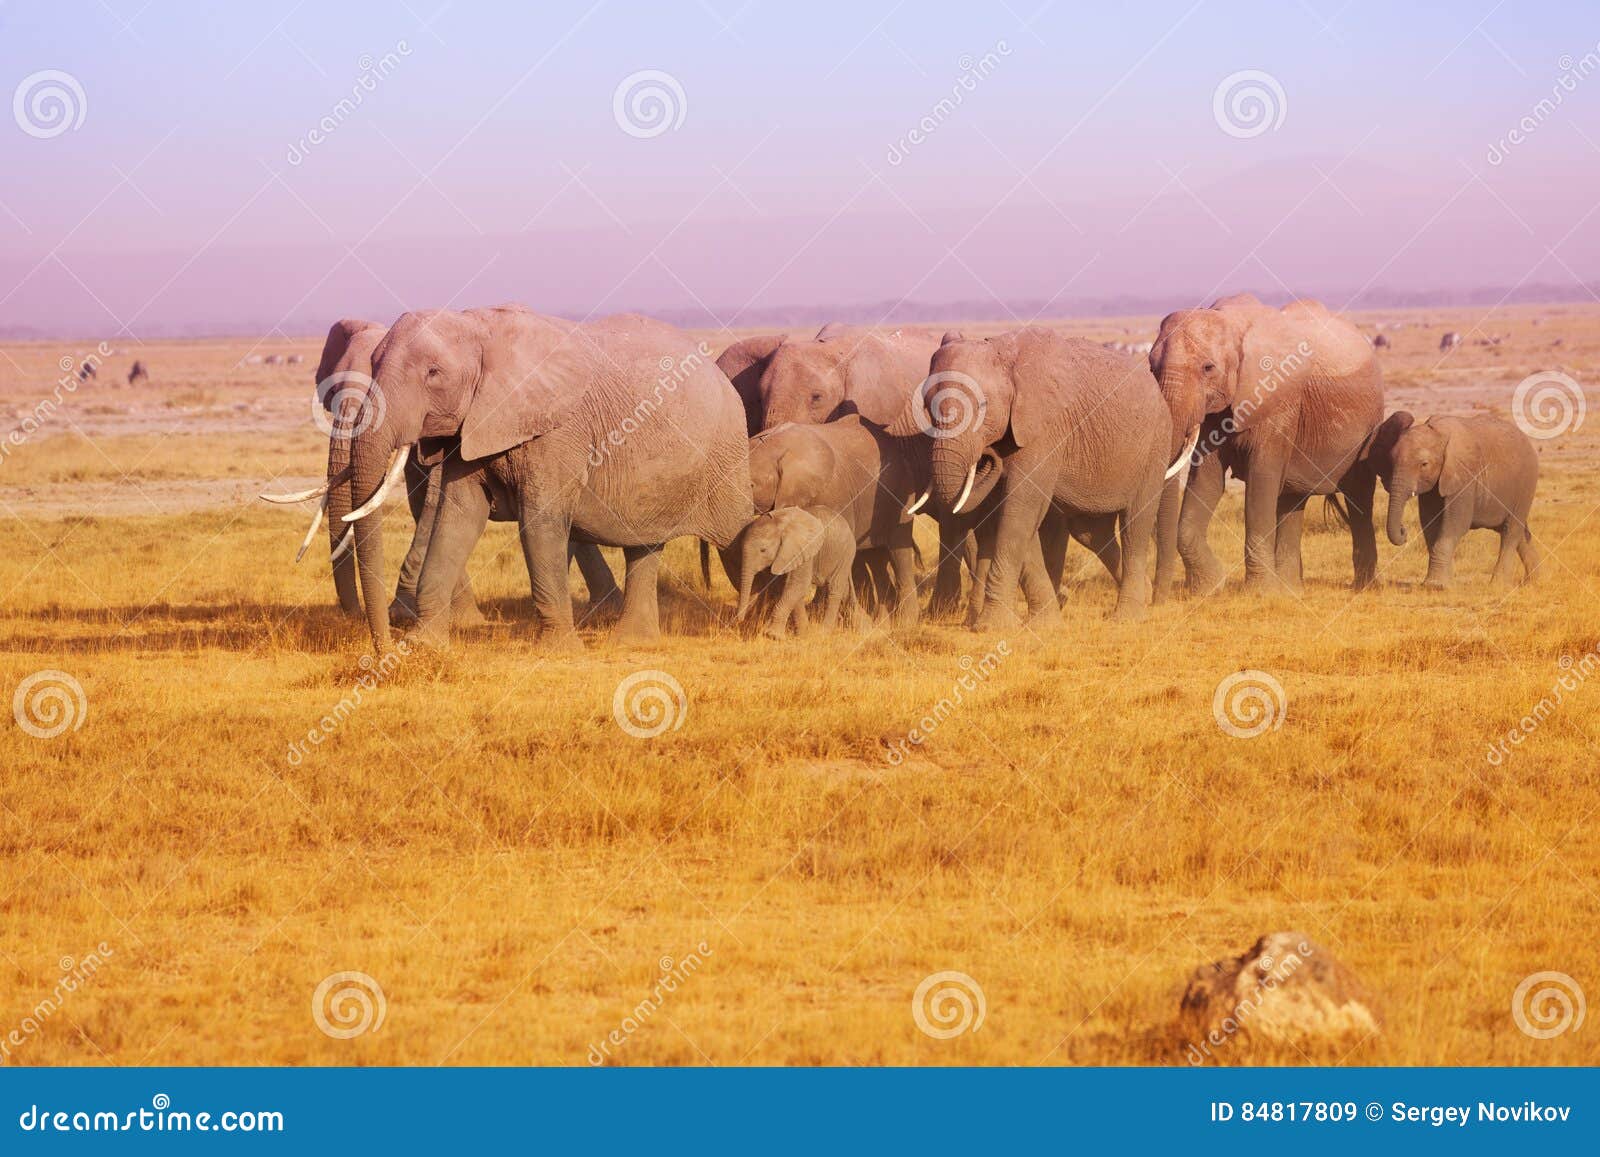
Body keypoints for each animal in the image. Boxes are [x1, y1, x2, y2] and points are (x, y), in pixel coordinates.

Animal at [337, 307, 748, 652]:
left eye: (433, 373)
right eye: (372, 364)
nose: (383, 647)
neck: (480, 327)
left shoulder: (559, 432)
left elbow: (540, 521)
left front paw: (560, 651)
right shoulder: (471, 427)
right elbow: (457, 516)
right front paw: (424, 647)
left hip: (725, 455)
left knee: (735, 535)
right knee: (644, 547)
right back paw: (633, 643)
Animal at [736, 505, 864, 633]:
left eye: (763, 550)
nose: (740, 620)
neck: (780, 524)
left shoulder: (802, 550)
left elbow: (798, 584)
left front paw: (772, 634)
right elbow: (790, 588)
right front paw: (803, 632)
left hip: (846, 553)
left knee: (834, 588)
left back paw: (824, 631)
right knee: (844, 590)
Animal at [915, 329, 1177, 630]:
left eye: (982, 406)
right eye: (926, 407)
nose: (988, 455)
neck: (1002, 354)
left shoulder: (1044, 427)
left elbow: (1020, 510)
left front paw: (992, 627)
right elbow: (1015, 516)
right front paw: (1045, 624)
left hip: (1155, 444)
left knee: (1135, 524)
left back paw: (1127, 617)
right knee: (1089, 531)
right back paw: (1141, 594)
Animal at [1152, 296, 1388, 598]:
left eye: (1208, 368)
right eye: (1151, 367)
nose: (1157, 598)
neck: (1232, 320)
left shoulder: (1280, 399)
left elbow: (1261, 481)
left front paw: (1258, 593)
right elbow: (1207, 480)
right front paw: (1209, 588)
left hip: (1368, 426)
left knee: (1359, 497)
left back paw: (1362, 587)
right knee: (1292, 499)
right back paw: (1290, 589)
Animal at [1363, 412, 1536, 588]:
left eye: (1424, 464)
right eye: (1391, 461)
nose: (1404, 531)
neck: (1439, 433)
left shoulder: (1464, 476)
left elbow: (1455, 525)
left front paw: (1435, 586)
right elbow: (1430, 524)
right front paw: (1441, 583)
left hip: (1526, 484)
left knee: (1511, 531)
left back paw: (1498, 584)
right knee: (1521, 533)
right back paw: (1536, 580)